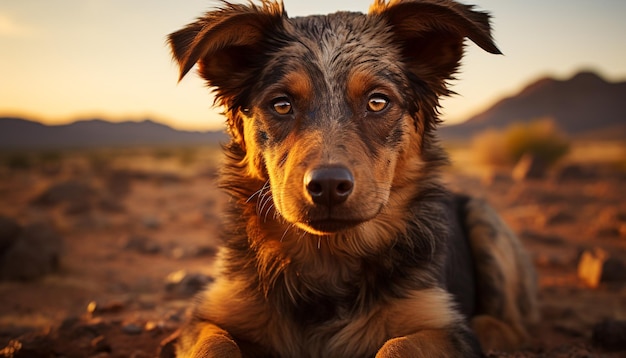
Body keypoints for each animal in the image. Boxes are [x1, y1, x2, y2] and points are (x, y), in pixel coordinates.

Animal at [166, 1, 536, 356]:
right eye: (281, 104)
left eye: (377, 101)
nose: (328, 186)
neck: (328, 259)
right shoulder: (209, 317)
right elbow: (215, 345)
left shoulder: (440, 324)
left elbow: (399, 346)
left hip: (485, 220)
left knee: (517, 328)